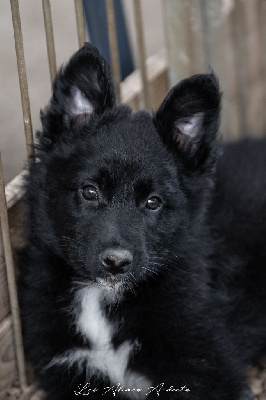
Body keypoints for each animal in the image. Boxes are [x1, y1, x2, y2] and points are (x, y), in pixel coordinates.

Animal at [20, 42, 266, 398]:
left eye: (153, 202)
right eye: (90, 191)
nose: (116, 262)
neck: (101, 298)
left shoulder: (209, 369)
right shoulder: (69, 370)